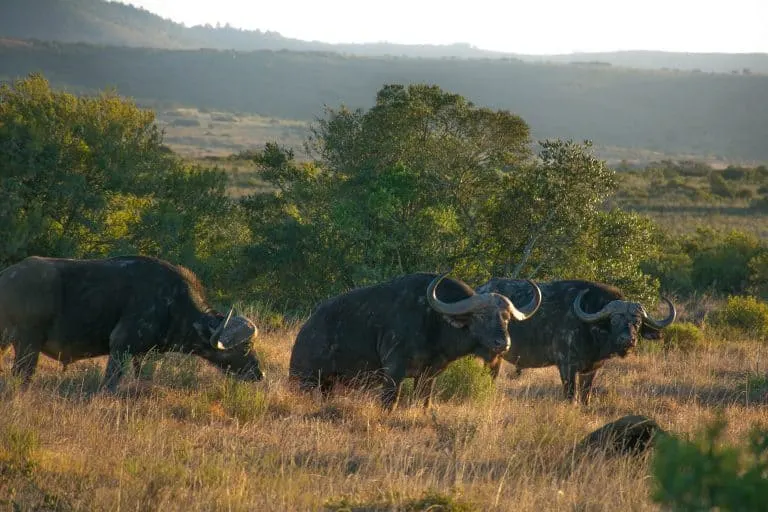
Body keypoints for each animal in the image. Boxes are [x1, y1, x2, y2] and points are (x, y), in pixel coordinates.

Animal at [0, 256, 264, 392]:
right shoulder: (121, 346)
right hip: (28, 345)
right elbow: (110, 381)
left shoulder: (141, 355)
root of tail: (6, 276)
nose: (258, 373)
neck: (173, 302)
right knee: (22, 374)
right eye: (244, 348)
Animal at [284, 272, 544, 408]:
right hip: (304, 379)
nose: (503, 344)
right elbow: (389, 402)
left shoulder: (428, 375)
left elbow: (424, 401)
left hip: (328, 385)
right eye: (481, 316)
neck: (434, 321)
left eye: (506, 317)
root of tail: (305, 330)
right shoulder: (393, 372)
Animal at [472, 280, 676, 404]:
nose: (628, 339)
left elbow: (585, 396)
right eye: (614, 320)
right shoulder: (566, 366)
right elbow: (571, 396)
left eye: (637, 322)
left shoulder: (591, 370)